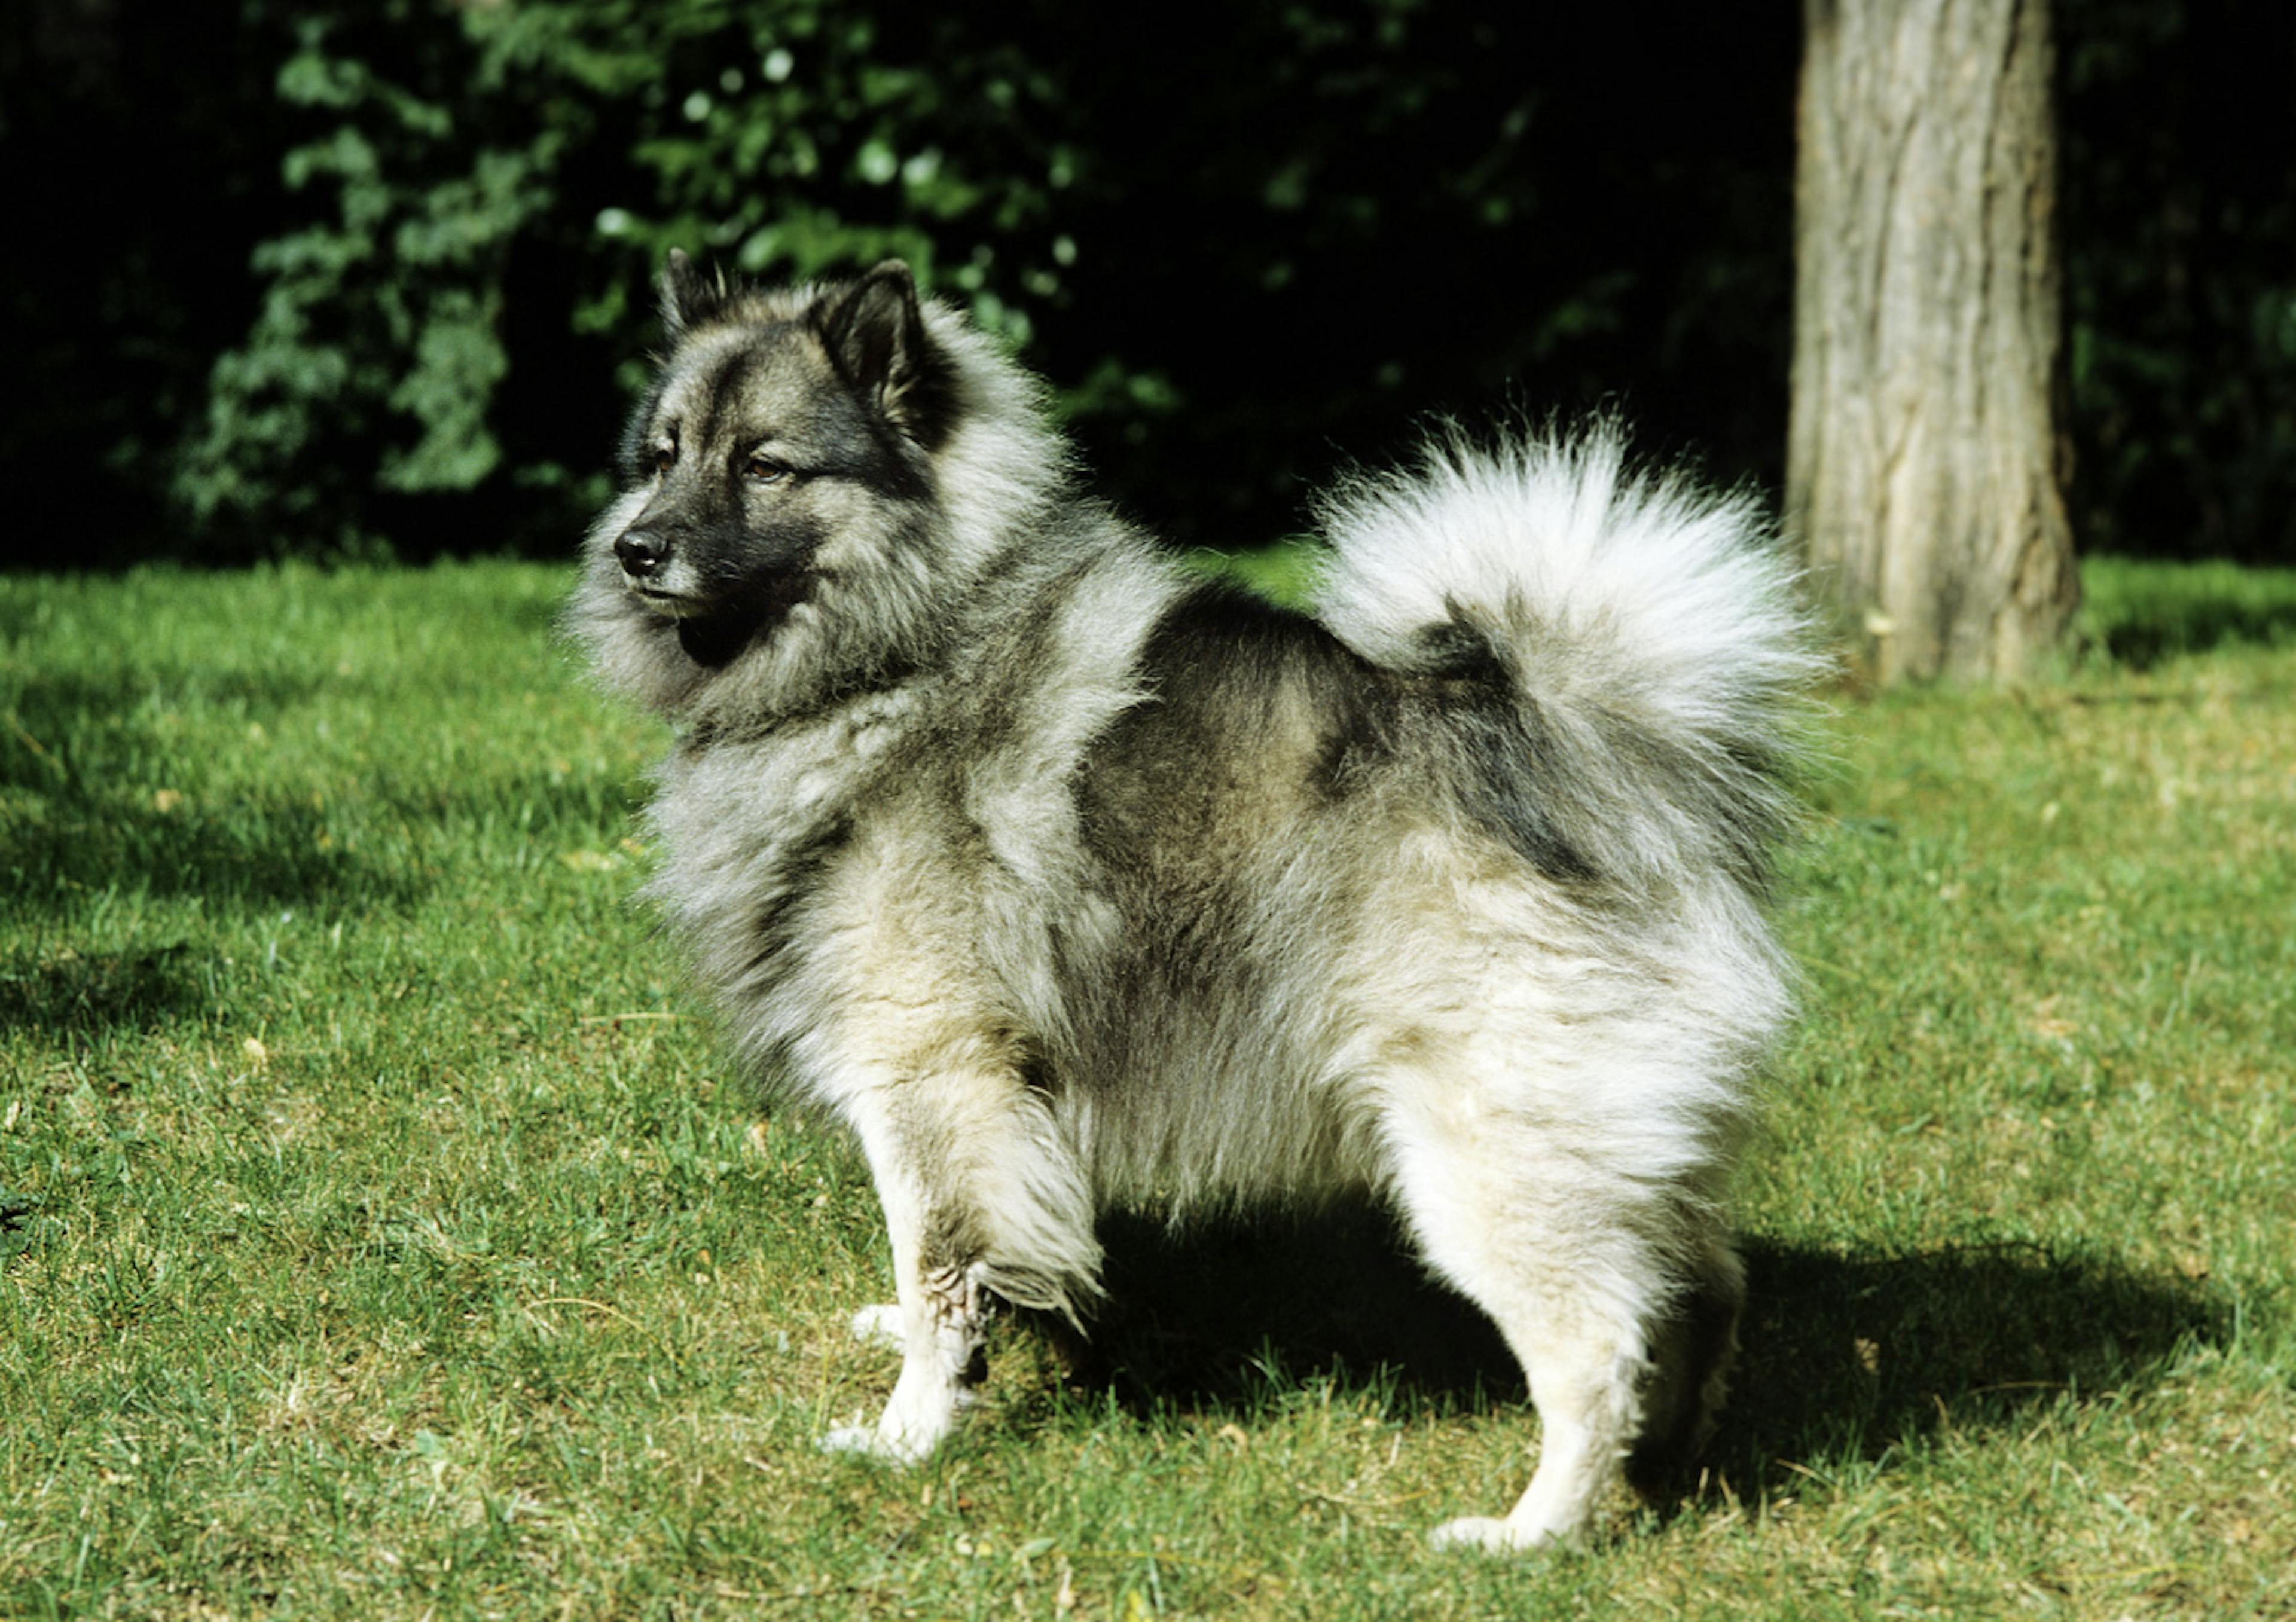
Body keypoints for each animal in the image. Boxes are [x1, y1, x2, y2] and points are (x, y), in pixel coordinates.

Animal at [564, 250, 1818, 1551]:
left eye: (765, 465)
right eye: (661, 455)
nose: (636, 549)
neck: (908, 647)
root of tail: (1585, 757)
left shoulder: (929, 1071)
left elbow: (942, 1263)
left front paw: (911, 1432)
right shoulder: (995, 1099)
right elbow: (978, 1257)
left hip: (1485, 1157)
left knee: (1598, 1349)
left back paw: (1531, 1534)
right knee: (1703, 1292)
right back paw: (1664, 1473)